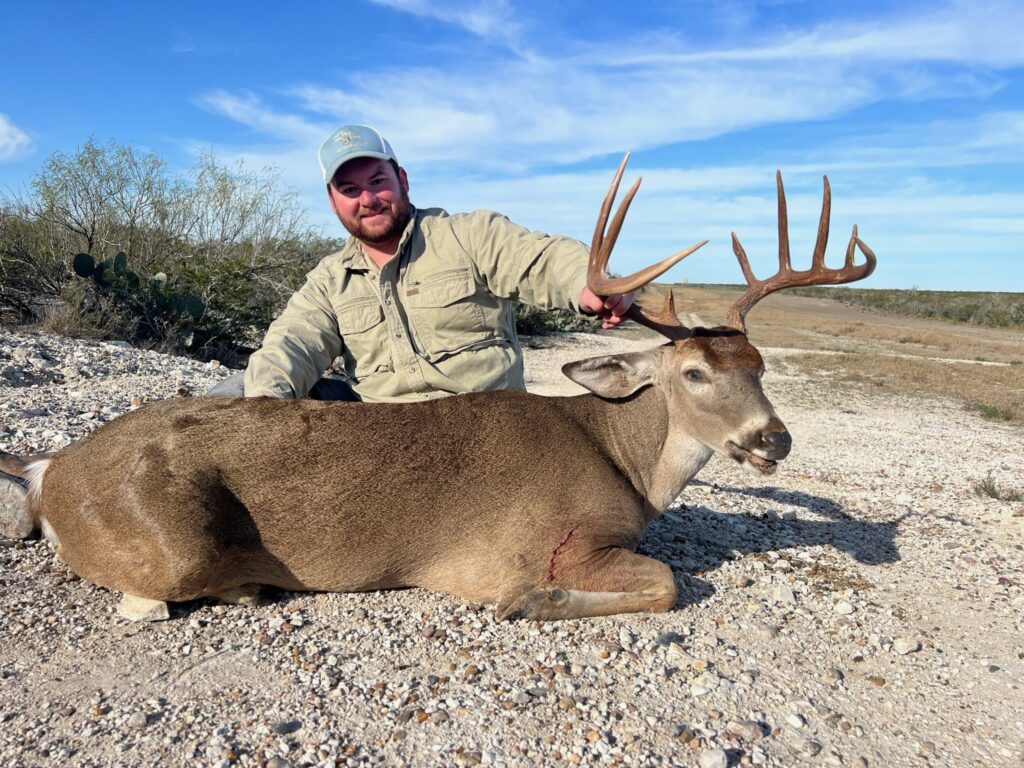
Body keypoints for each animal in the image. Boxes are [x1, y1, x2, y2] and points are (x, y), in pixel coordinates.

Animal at [0, 156, 875, 622]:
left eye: (760, 366)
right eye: (694, 372)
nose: (773, 438)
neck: (623, 459)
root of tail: (51, 466)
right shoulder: (556, 539)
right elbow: (666, 583)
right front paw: (533, 603)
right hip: (172, 540)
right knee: (142, 597)